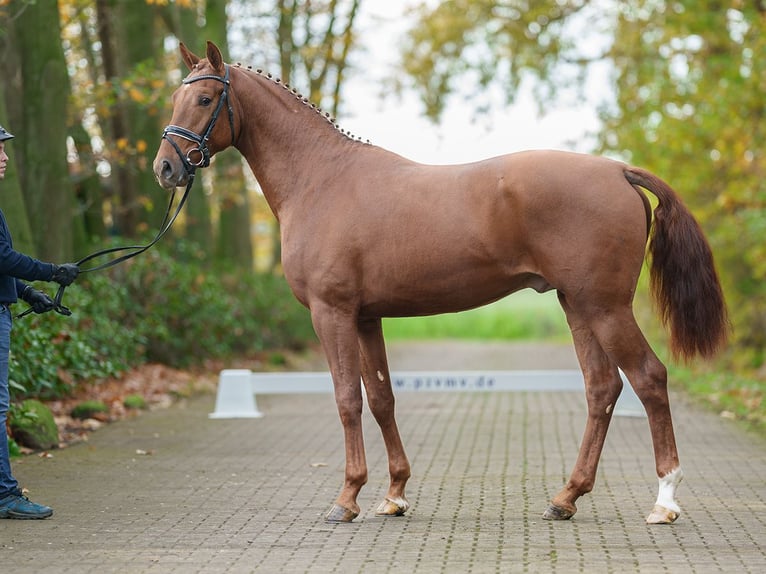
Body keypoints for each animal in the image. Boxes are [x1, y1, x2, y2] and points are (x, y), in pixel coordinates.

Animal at [153, 40, 728, 528]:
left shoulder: (331, 312)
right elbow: (381, 398)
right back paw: (566, 498)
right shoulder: (367, 317)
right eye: (177, 97)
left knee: (649, 378)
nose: (166, 168)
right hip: (577, 305)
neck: (320, 179)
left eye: (204, 97)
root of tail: (618, 171)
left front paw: (346, 499)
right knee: (602, 388)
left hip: (605, 307)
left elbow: (346, 399)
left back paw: (665, 501)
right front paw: (394, 495)